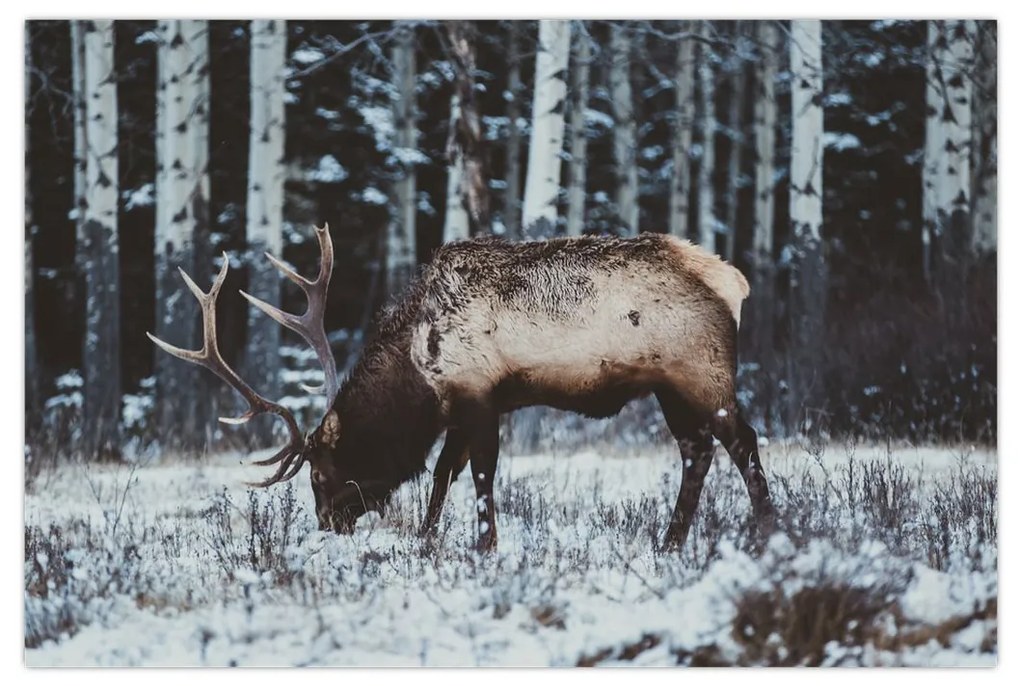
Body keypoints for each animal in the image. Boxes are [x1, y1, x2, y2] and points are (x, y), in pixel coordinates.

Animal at [148, 224, 771, 550]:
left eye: (322, 473)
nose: (328, 526)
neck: (417, 370)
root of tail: (734, 283)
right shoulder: (459, 407)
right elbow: (445, 470)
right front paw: (427, 540)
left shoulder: (479, 395)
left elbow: (479, 473)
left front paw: (484, 544)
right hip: (669, 387)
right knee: (697, 450)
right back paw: (670, 541)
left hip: (702, 372)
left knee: (741, 441)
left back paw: (767, 528)